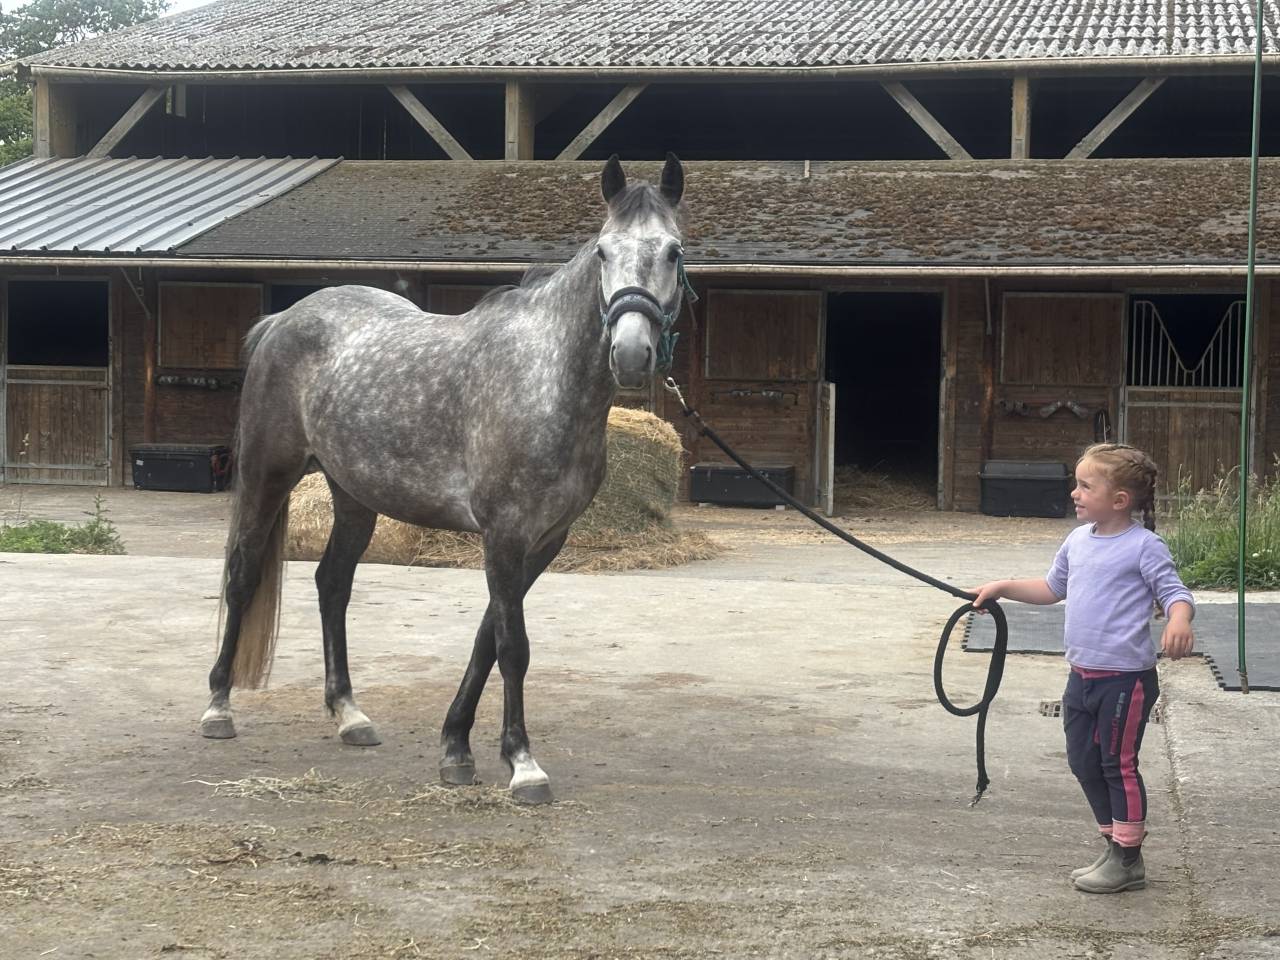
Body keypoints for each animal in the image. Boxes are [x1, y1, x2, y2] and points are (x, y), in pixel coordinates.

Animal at [200, 154, 688, 804]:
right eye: (604, 252)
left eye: (674, 252)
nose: (631, 355)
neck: (544, 378)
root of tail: (283, 319)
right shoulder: (503, 534)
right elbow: (513, 646)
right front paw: (523, 763)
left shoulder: (543, 540)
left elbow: (488, 637)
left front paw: (456, 746)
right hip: (266, 475)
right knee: (243, 575)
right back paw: (218, 707)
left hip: (353, 495)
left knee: (333, 584)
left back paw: (350, 714)